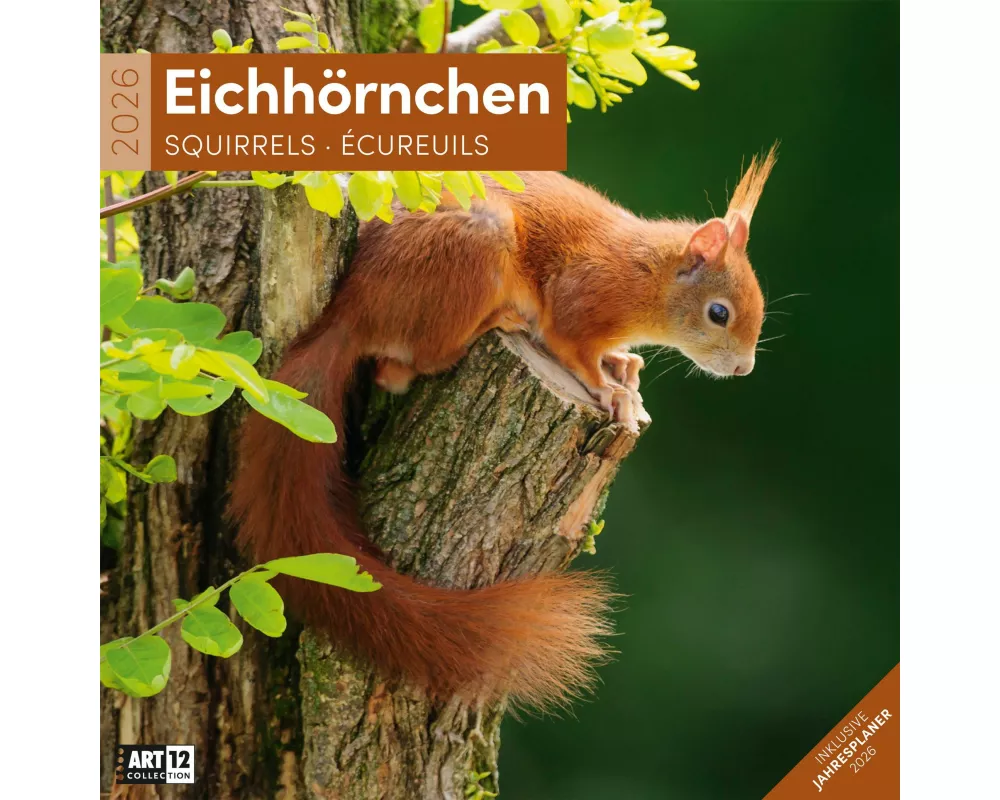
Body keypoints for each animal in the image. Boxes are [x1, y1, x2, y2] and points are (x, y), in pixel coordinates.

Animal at [229, 148, 776, 708]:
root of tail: (350, 311)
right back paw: (497, 322)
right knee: (415, 363)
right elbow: (571, 347)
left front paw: (624, 366)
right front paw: (612, 391)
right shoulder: (581, 298)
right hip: (476, 247)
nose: (744, 369)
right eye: (718, 313)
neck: (649, 274)